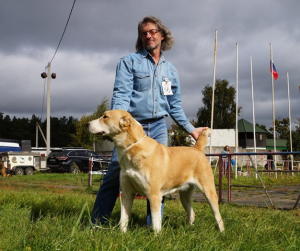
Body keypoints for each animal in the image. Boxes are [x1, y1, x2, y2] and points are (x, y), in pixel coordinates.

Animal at [88, 111, 224, 234]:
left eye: (105, 117)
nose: (87, 124)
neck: (132, 148)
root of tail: (197, 149)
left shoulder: (154, 195)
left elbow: (155, 222)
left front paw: (156, 237)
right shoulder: (126, 194)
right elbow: (124, 219)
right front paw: (122, 235)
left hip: (209, 191)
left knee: (218, 216)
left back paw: (222, 233)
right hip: (184, 195)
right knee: (192, 213)